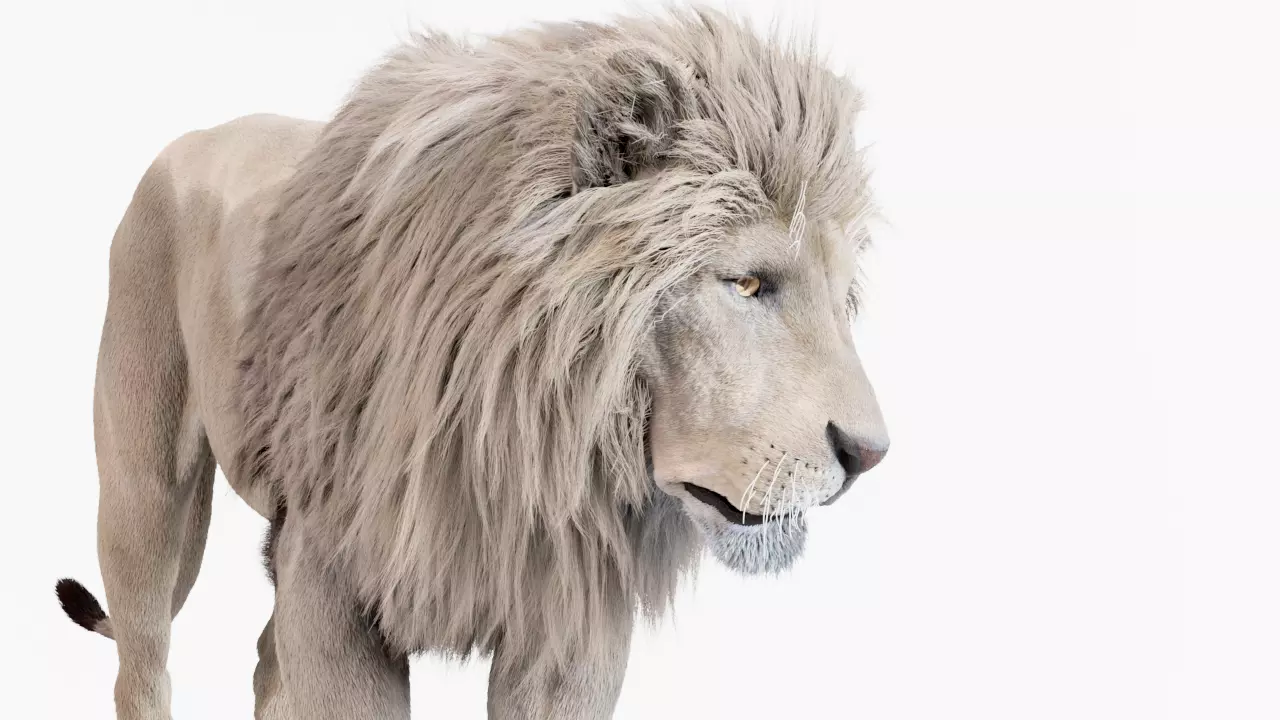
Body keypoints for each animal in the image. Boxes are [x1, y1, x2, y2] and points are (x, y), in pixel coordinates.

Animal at [54, 8, 888, 719]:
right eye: (747, 283)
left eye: (842, 297)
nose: (869, 454)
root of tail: (197, 133)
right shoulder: (336, 580)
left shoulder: (571, 621)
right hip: (147, 494)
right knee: (143, 659)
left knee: (262, 658)